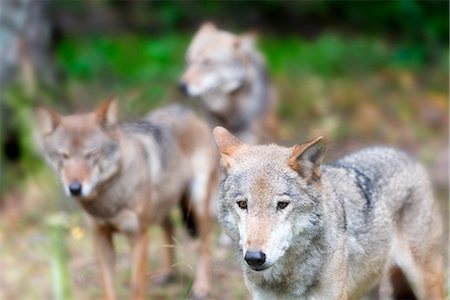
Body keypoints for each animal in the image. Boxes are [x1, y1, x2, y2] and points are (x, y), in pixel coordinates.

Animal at [35, 99, 218, 300]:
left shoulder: (138, 237)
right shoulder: (100, 237)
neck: (107, 201)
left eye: (91, 154)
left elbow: (136, 286)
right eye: (63, 156)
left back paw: (202, 287)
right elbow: (107, 285)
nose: (75, 188)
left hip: (198, 203)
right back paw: (167, 273)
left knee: (204, 246)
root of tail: (185, 109)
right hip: (161, 207)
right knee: (170, 228)